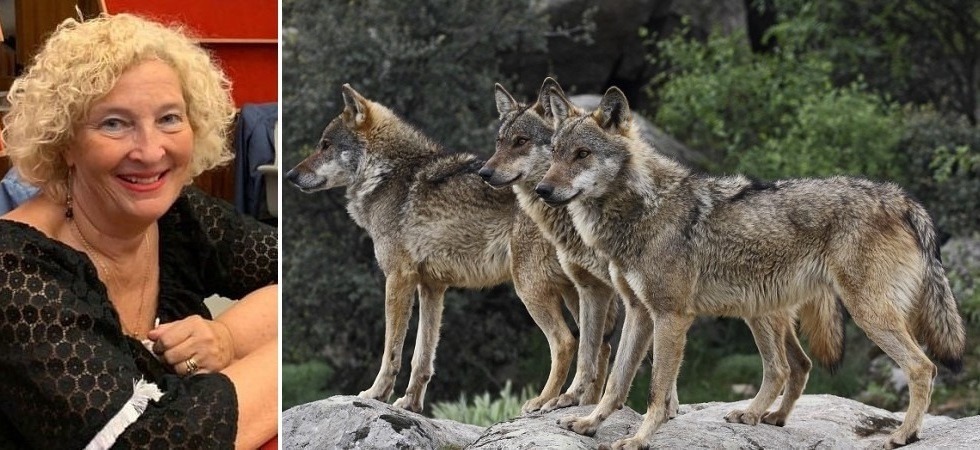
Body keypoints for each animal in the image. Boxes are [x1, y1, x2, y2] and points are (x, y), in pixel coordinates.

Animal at [285, 84, 585, 413]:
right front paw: (410, 403)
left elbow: (392, 351)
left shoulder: (398, 279)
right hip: (574, 292)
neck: (388, 174)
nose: (290, 175)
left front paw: (375, 394)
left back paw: (545, 401)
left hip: (529, 288)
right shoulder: (432, 287)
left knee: (566, 341)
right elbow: (422, 356)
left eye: (325, 146)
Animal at [479, 78, 677, 413]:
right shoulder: (589, 286)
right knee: (593, 345)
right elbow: (593, 349)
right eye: (499, 142)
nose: (484, 172)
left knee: (567, 342)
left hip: (530, 289)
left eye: (521, 141)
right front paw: (579, 401)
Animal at [537, 86, 965, 449]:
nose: (542, 189)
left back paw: (903, 435)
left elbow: (657, 390)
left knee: (922, 367)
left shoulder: (671, 316)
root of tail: (901, 197)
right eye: (555, 153)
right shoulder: (639, 312)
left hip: (864, 314)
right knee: (786, 368)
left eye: (582, 154)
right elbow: (616, 380)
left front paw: (639, 439)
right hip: (761, 309)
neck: (642, 209)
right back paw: (762, 416)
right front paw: (588, 423)